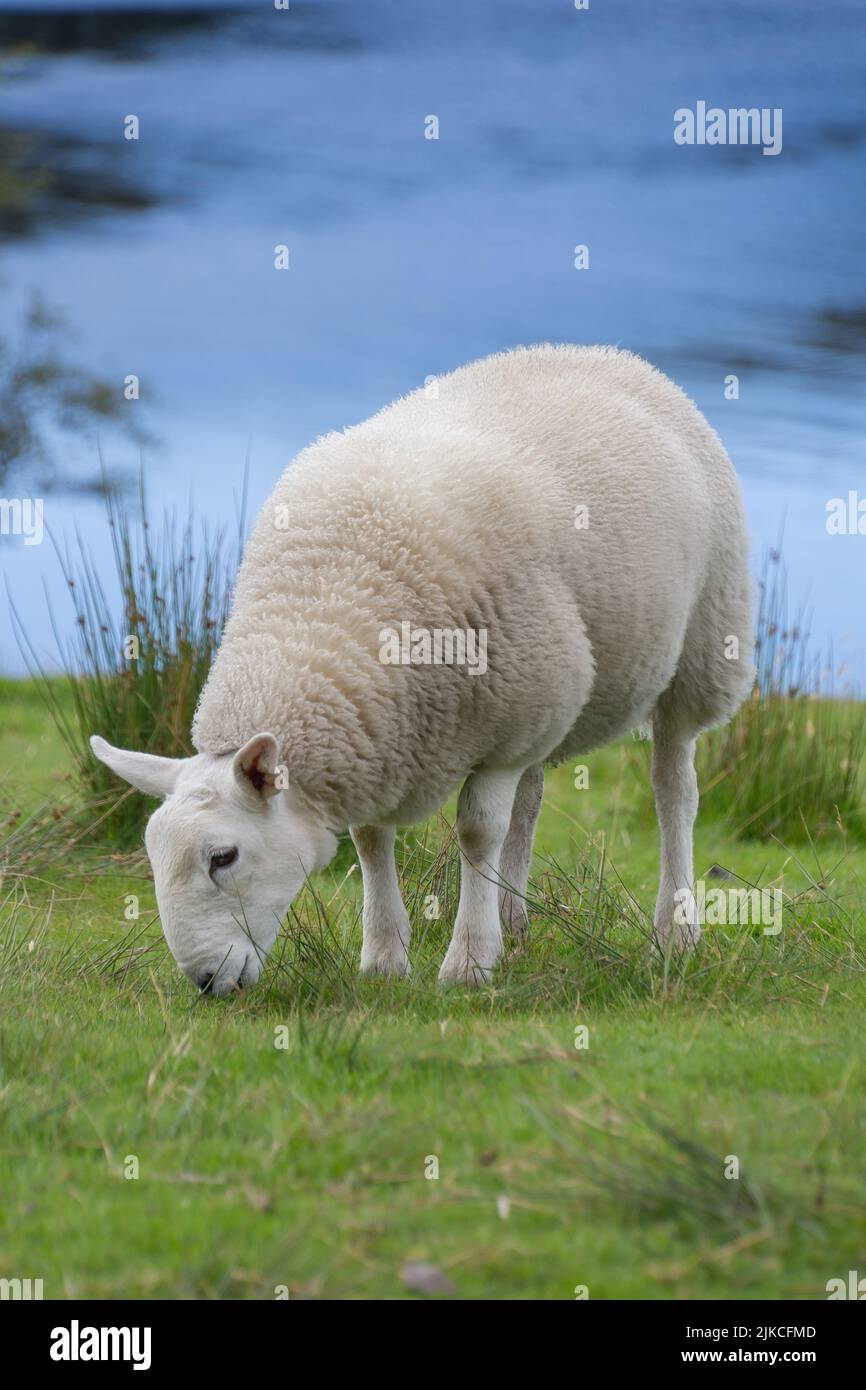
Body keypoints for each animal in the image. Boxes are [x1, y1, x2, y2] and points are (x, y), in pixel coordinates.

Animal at [92, 344, 754, 994]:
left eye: (222, 857)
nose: (205, 981)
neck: (326, 610)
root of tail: (604, 353)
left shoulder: (499, 723)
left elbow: (478, 831)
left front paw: (469, 962)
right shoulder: (386, 737)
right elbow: (371, 838)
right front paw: (385, 958)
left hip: (698, 650)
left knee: (674, 790)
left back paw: (675, 931)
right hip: (548, 700)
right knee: (532, 798)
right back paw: (514, 922)